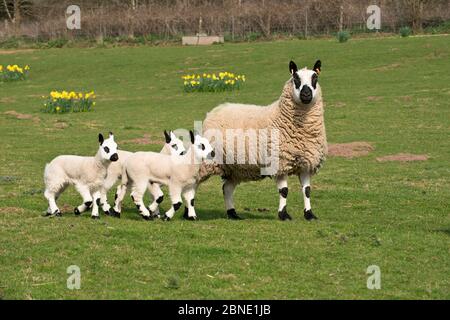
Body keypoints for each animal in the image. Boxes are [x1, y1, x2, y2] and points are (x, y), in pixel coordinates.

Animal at [200, 59, 326, 220]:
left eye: (315, 78)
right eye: (295, 78)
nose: (306, 93)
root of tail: (213, 112)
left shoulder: (306, 163)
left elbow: (307, 190)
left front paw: (309, 214)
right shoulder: (279, 162)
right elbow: (284, 191)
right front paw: (283, 215)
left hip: (235, 167)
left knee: (226, 188)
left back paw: (232, 213)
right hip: (208, 160)